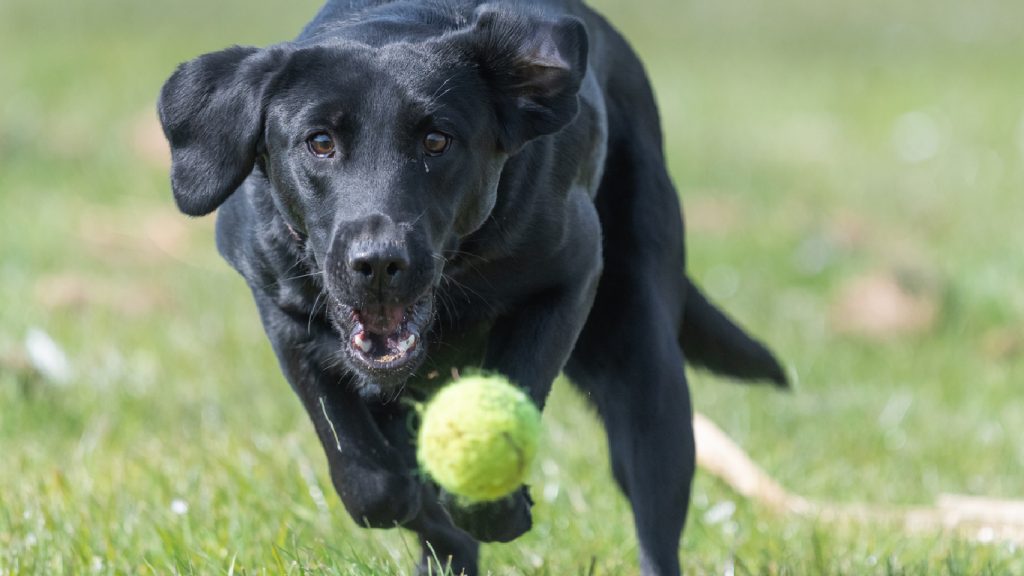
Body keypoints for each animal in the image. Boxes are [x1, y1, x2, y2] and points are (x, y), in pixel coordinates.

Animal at [157, 2, 782, 569]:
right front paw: (425, 502)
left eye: (437, 141)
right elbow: (368, 480)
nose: (378, 263)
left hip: (645, 363)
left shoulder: (570, 277)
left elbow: (514, 394)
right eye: (319, 142)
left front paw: (495, 507)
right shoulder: (282, 313)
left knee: (655, 506)